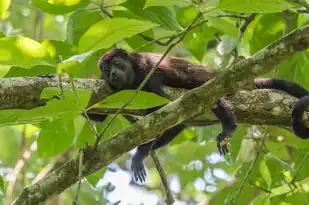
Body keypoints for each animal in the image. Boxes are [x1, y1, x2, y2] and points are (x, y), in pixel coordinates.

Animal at [87, 48, 309, 183]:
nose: (112, 73)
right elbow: (98, 116)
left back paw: (228, 126)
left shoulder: (147, 72)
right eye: (107, 68)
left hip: (218, 82)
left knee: (208, 93)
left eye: (117, 63)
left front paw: (140, 154)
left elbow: (162, 111)